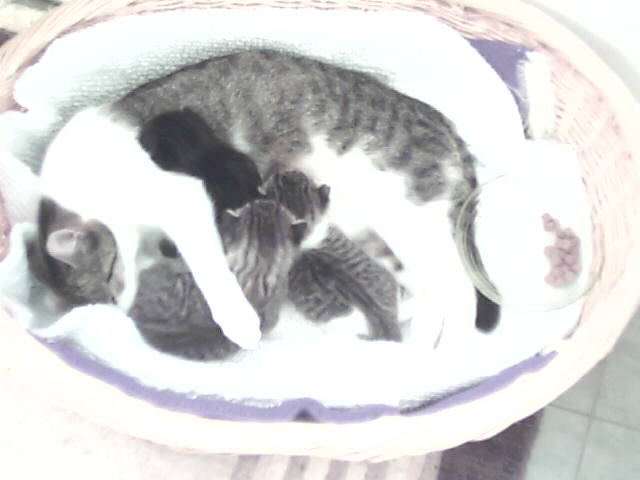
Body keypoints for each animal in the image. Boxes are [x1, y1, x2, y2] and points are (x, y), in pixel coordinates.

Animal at [115, 49, 500, 339]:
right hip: (376, 231)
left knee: (459, 286)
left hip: (411, 210)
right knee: (424, 283)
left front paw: (235, 318)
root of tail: (442, 122)